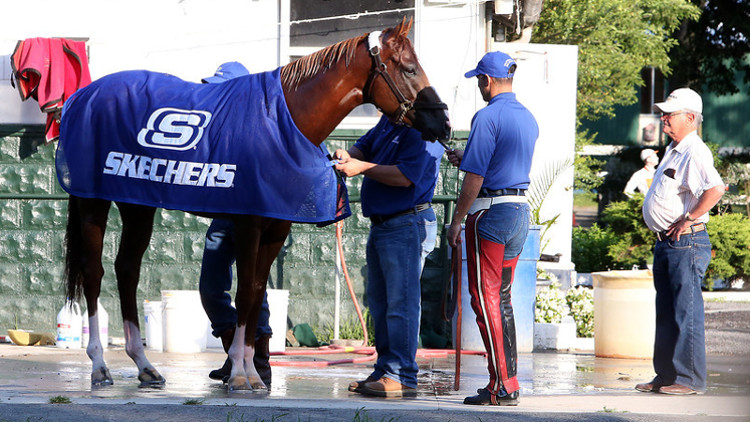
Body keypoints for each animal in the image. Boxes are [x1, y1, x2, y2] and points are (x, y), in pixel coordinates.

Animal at [61, 18, 450, 390]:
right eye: (409, 68)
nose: (443, 123)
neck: (283, 121)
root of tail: (82, 97)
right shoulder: (249, 224)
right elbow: (246, 293)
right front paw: (238, 374)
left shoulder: (276, 227)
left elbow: (258, 292)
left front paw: (251, 373)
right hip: (93, 202)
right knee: (94, 273)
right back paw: (98, 367)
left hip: (137, 204)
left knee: (127, 270)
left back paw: (145, 366)